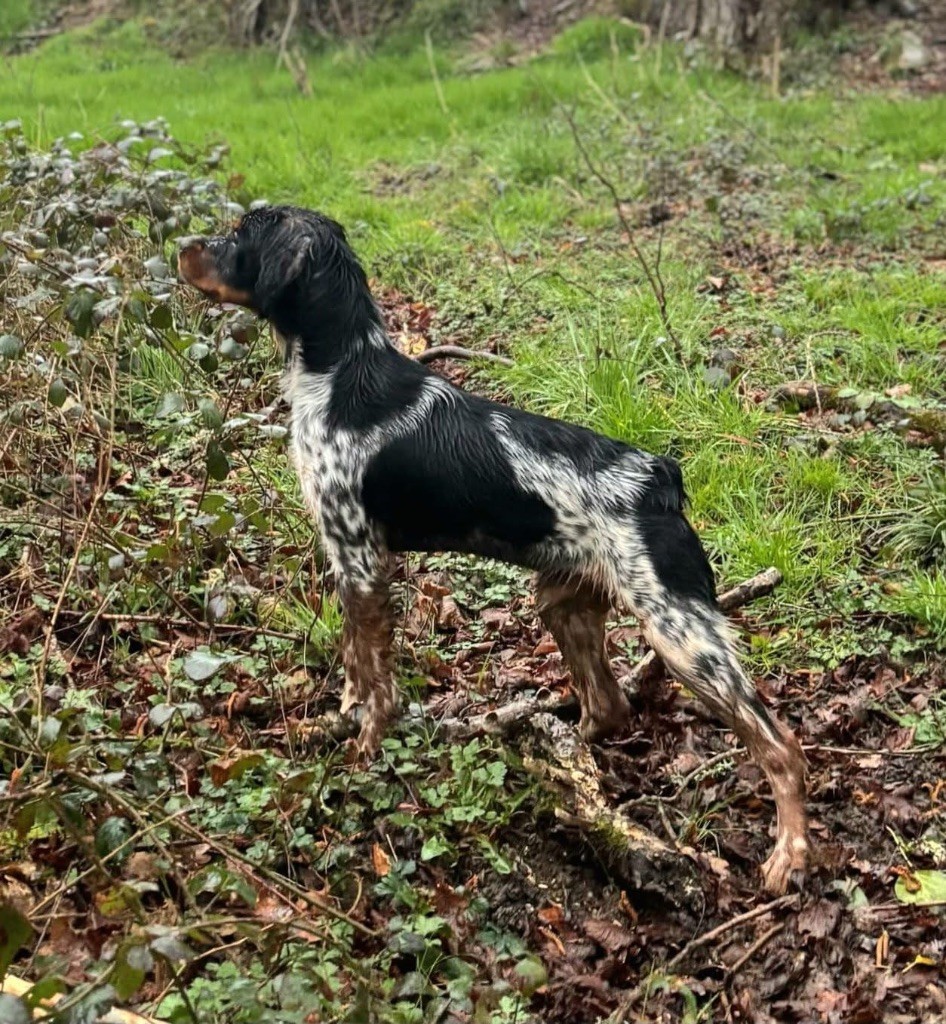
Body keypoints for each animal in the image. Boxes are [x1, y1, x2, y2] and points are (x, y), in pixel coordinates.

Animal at [181, 203, 810, 892]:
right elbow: (354, 666)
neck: (339, 373)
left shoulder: (364, 561)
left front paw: (361, 756)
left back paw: (790, 854)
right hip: (565, 604)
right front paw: (341, 718)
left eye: (241, 234)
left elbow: (378, 687)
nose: (181, 246)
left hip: (681, 635)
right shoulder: (348, 561)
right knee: (610, 706)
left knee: (782, 746)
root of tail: (660, 479)